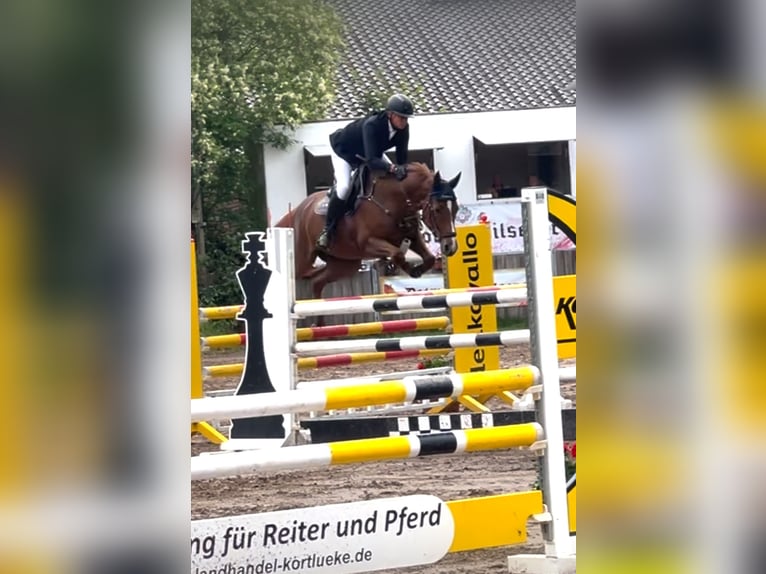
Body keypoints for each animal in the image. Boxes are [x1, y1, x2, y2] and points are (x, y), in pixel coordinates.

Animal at [274, 162, 460, 304]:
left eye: (456, 209)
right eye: (437, 210)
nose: (450, 247)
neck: (396, 199)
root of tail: (297, 210)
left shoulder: (412, 237)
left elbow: (429, 258)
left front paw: (417, 270)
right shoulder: (369, 243)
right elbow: (398, 254)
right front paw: (407, 268)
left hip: (345, 264)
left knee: (317, 282)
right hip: (302, 259)